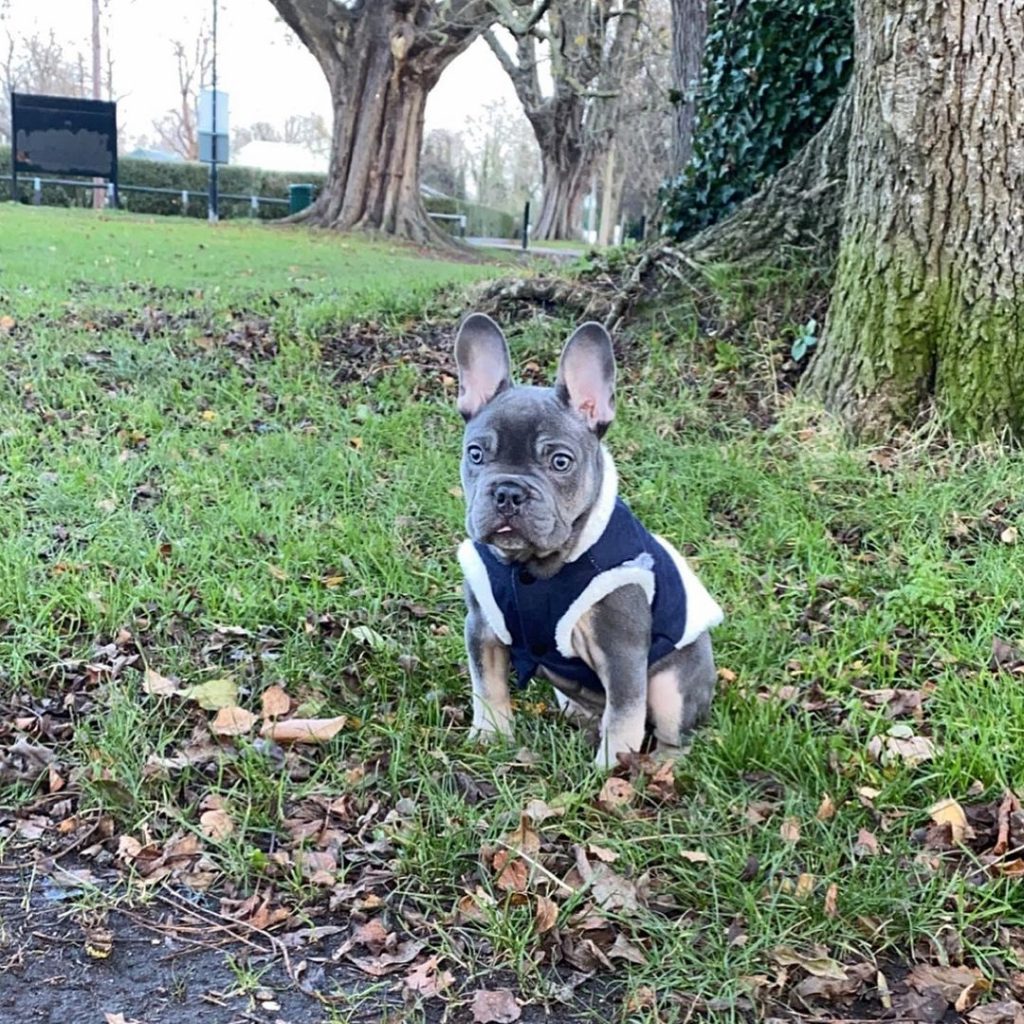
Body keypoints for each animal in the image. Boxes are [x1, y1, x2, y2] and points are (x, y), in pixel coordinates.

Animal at [456, 311, 729, 770]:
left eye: (560, 462)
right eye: (476, 454)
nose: (508, 492)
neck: (534, 568)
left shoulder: (622, 652)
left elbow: (624, 714)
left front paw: (610, 767)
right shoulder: (483, 626)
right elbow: (487, 684)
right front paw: (490, 737)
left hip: (674, 683)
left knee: (674, 732)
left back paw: (659, 765)